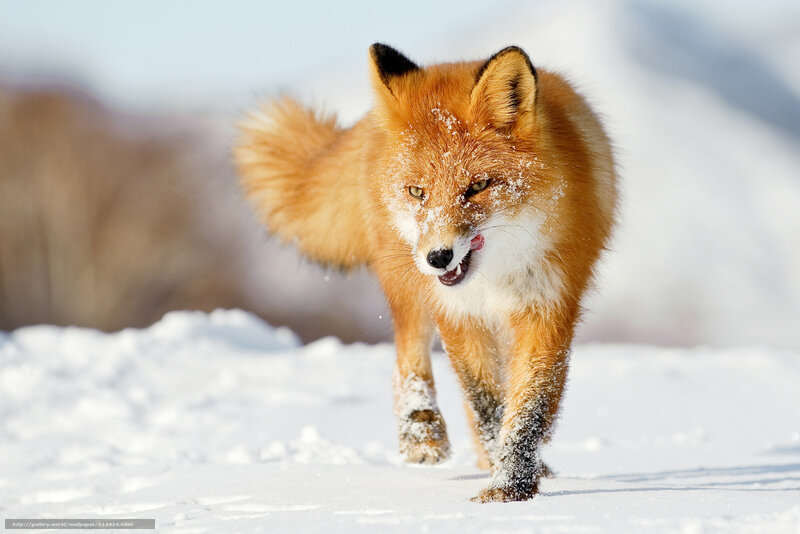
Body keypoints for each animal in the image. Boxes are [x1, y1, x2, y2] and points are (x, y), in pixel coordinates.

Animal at [234, 43, 618, 502]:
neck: (494, 278)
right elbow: (486, 402)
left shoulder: (547, 306)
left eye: (477, 186)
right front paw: (505, 481)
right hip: (408, 285)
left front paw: (510, 486)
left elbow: (528, 407)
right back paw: (422, 434)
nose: (438, 257)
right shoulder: (458, 312)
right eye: (418, 191)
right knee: (408, 356)